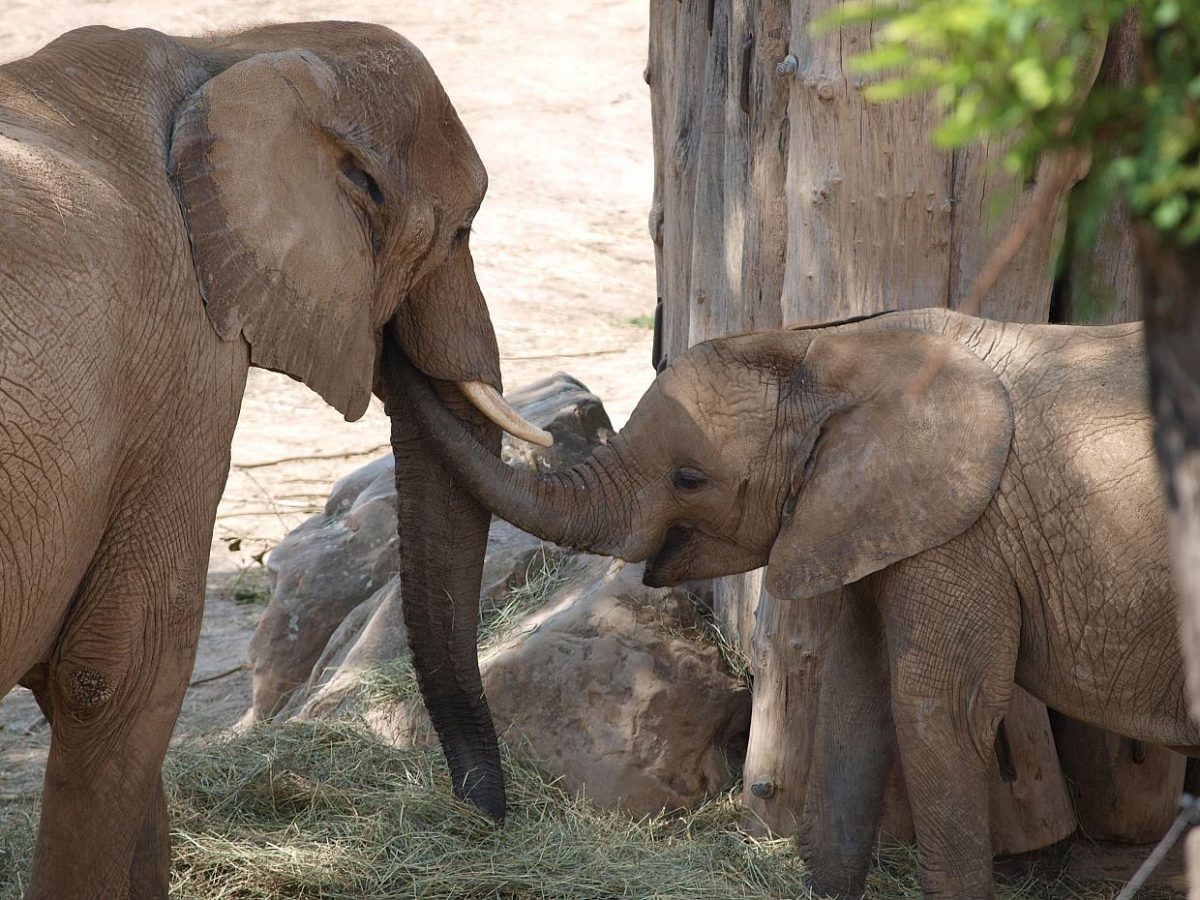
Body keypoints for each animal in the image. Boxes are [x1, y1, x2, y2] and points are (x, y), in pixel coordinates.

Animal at [400, 309, 1200, 900]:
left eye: (689, 478)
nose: (394, 349)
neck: (837, 352)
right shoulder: (866, 517)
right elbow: (857, 691)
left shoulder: (962, 530)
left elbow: (939, 707)